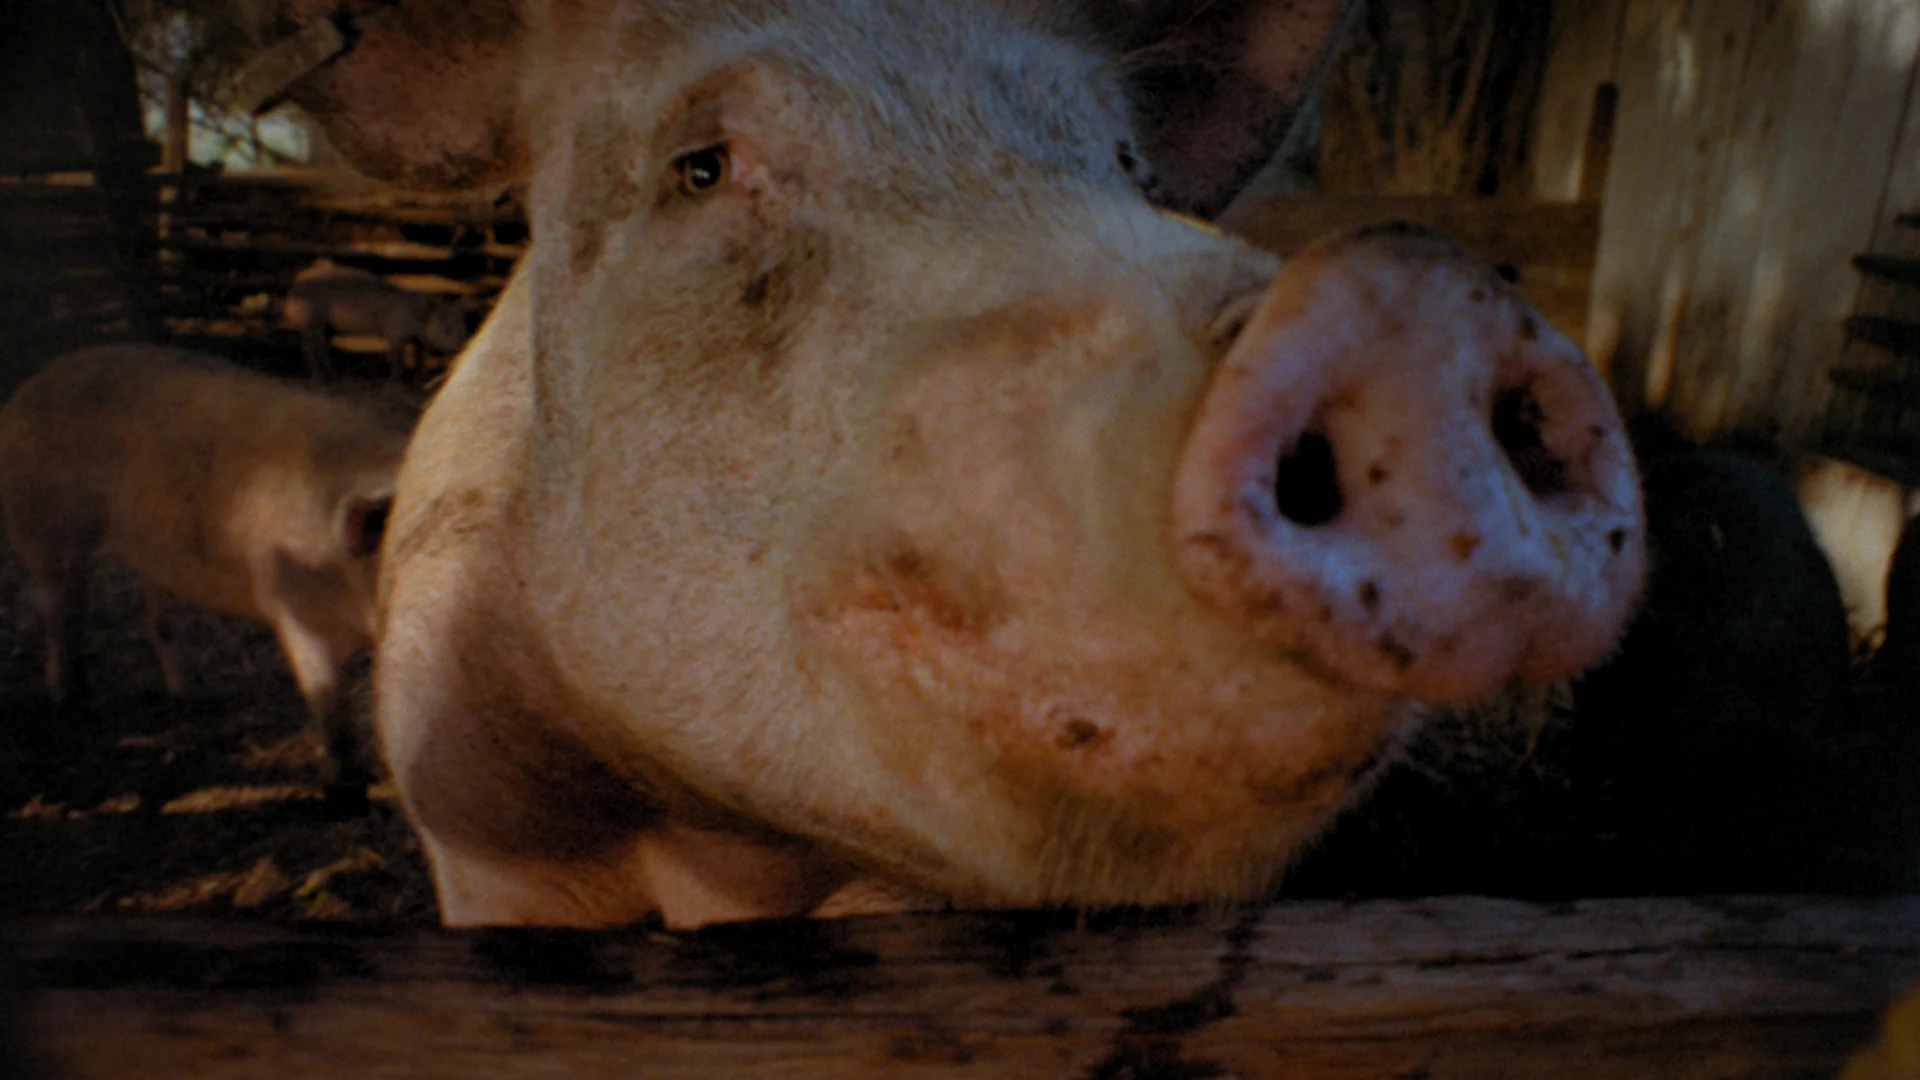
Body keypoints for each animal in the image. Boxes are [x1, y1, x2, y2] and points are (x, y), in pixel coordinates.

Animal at [0, 345, 407, 803]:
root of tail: (26, 390)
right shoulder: (295, 610)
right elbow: (329, 701)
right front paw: (343, 791)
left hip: (153, 554)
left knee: (158, 620)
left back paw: (196, 696)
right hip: (45, 528)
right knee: (60, 609)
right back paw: (72, 699)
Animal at [284, 260, 469, 381]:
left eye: (463, 326)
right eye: (447, 327)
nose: (461, 345)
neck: (419, 315)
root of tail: (296, 282)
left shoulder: (413, 337)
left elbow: (419, 356)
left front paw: (418, 377)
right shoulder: (395, 331)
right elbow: (396, 358)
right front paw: (396, 381)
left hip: (325, 323)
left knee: (322, 343)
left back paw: (334, 373)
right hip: (312, 315)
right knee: (309, 343)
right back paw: (318, 375)